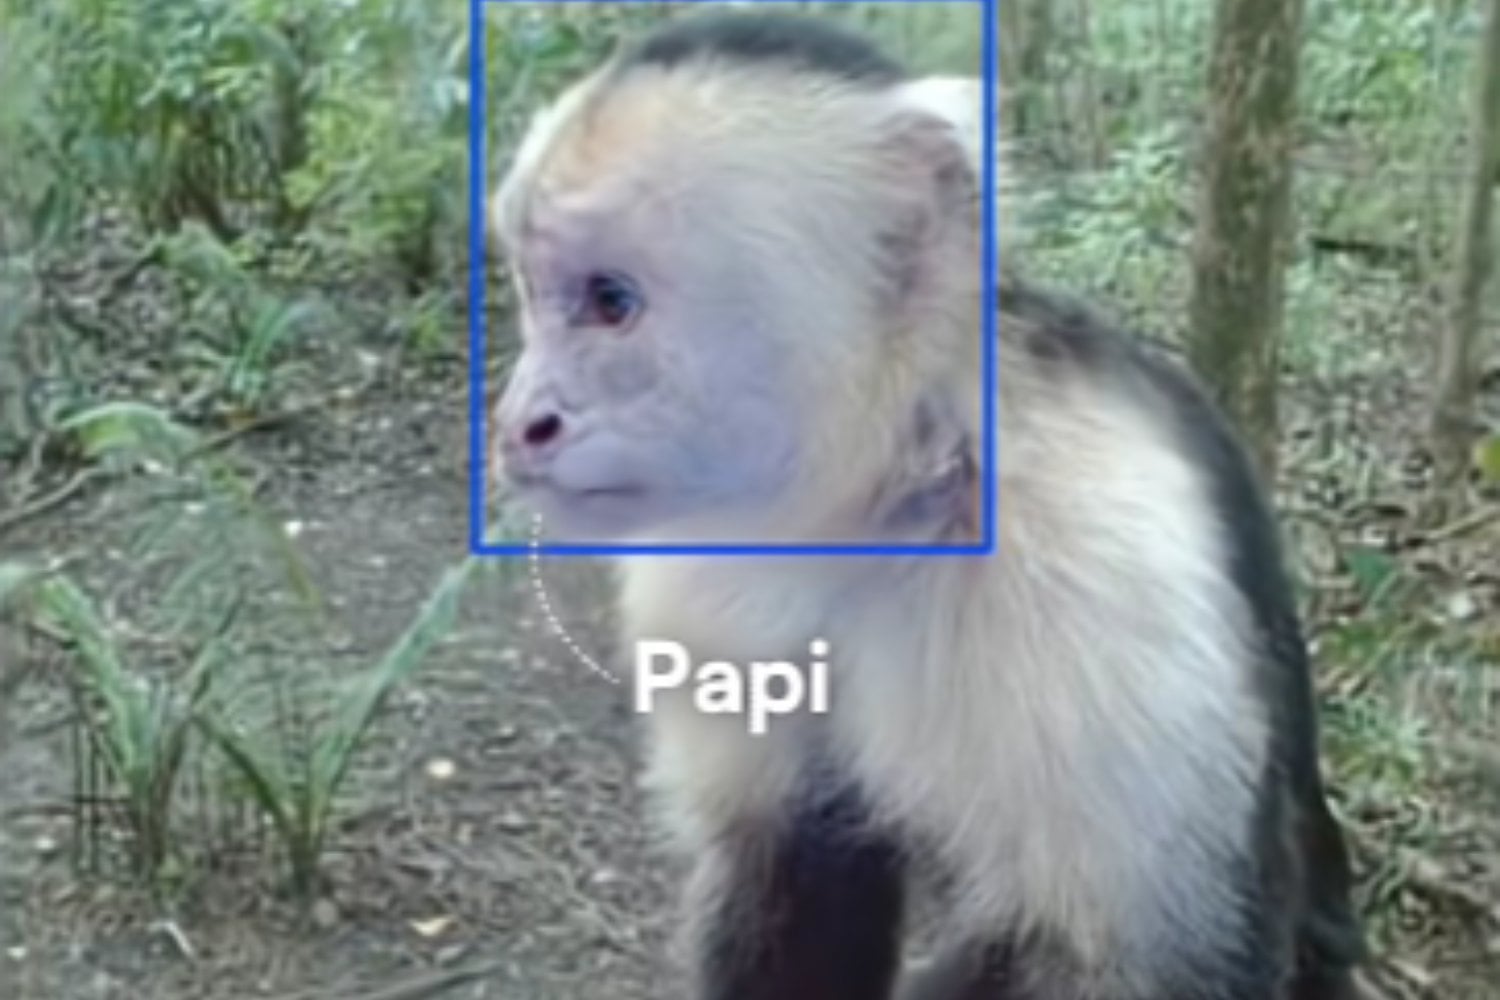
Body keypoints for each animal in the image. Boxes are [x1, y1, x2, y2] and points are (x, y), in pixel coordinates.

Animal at [488, 10, 1366, 1000]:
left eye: (610, 302)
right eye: (531, 290)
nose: (520, 422)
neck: (883, 490)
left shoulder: (1094, 562)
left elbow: (1149, 962)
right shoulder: (703, 573)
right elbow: (790, 863)